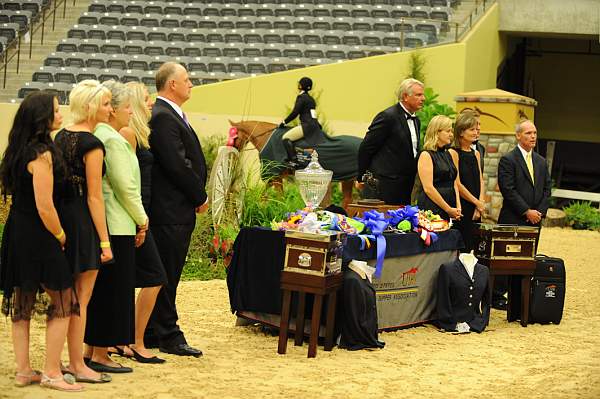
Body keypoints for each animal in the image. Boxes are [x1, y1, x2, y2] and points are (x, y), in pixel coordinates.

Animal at [229, 120, 364, 209]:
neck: (266, 137)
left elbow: (280, 197)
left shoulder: (276, 175)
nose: (232, 150)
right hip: (348, 179)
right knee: (347, 200)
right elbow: (264, 193)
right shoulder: (275, 176)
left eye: (233, 136)